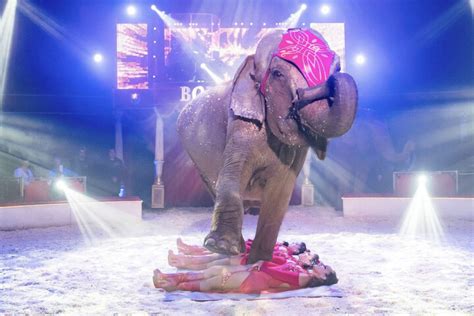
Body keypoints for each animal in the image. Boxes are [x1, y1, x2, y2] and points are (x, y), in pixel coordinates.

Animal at [178, 28, 360, 262]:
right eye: (277, 74)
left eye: (336, 68)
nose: (302, 95)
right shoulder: (240, 119)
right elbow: (232, 173)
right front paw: (220, 247)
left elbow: (280, 192)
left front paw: (260, 261)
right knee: (214, 184)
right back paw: (236, 250)